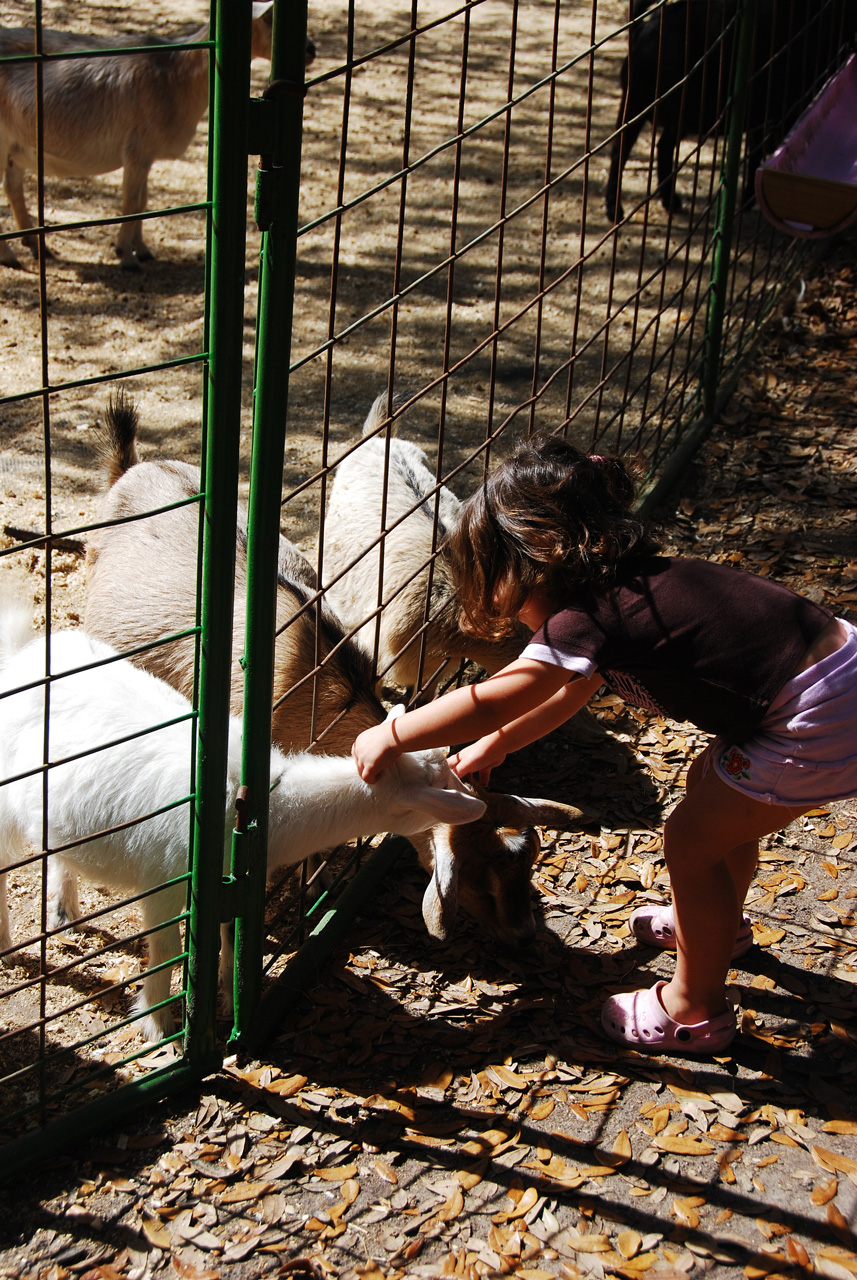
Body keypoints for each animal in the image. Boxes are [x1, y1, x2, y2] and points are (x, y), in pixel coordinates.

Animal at [0, 4, 312, 270]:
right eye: (269, 18)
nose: (312, 49)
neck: (177, 75)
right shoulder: (137, 150)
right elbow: (132, 203)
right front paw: (126, 257)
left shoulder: (146, 156)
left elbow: (143, 201)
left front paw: (142, 250)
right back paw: (10, 256)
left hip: (14, 148)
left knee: (12, 187)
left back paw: (36, 246)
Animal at [0, 614, 483, 1044]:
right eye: (438, 785)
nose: (473, 794)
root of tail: (25, 654)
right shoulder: (165, 882)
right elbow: (167, 951)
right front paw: (161, 1028)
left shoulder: (231, 885)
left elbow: (230, 940)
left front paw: (230, 1005)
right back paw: (8, 942)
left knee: (57, 849)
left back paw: (64, 912)